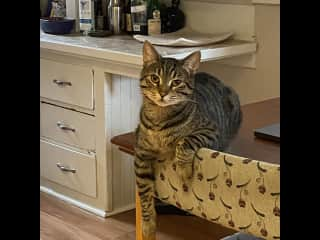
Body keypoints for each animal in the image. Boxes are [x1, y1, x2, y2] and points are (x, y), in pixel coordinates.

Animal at [134, 41, 241, 238]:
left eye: (176, 82)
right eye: (154, 78)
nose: (162, 93)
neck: (160, 118)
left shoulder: (210, 129)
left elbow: (184, 141)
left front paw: (183, 169)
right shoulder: (141, 154)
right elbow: (144, 192)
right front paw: (147, 224)